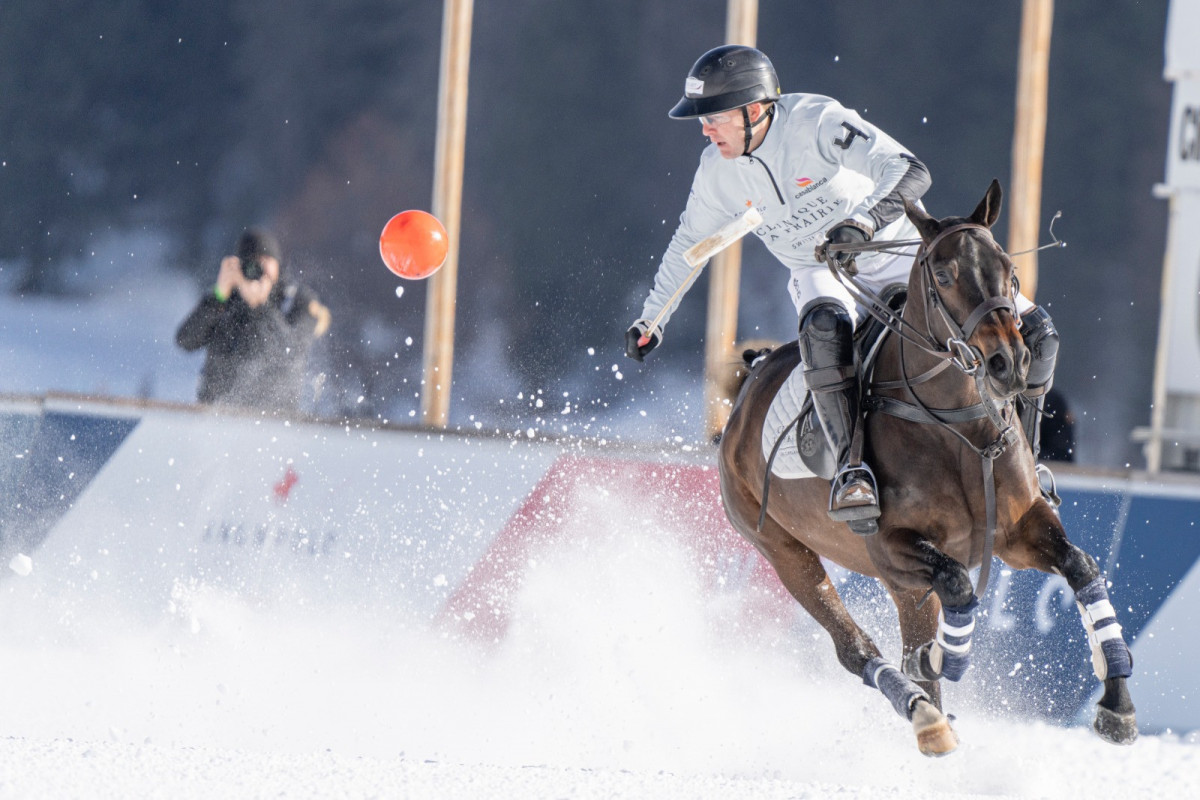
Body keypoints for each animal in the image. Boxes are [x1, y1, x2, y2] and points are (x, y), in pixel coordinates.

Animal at [715, 181, 1137, 758]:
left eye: (1009, 268)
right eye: (942, 275)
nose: (1008, 363)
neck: (960, 426)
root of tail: (746, 390)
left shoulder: (1016, 529)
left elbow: (1082, 566)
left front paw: (1117, 701)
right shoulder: (891, 546)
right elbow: (957, 587)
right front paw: (937, 659)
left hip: (891, 579)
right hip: (782, 550)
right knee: (856, 646)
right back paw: (924, 715)